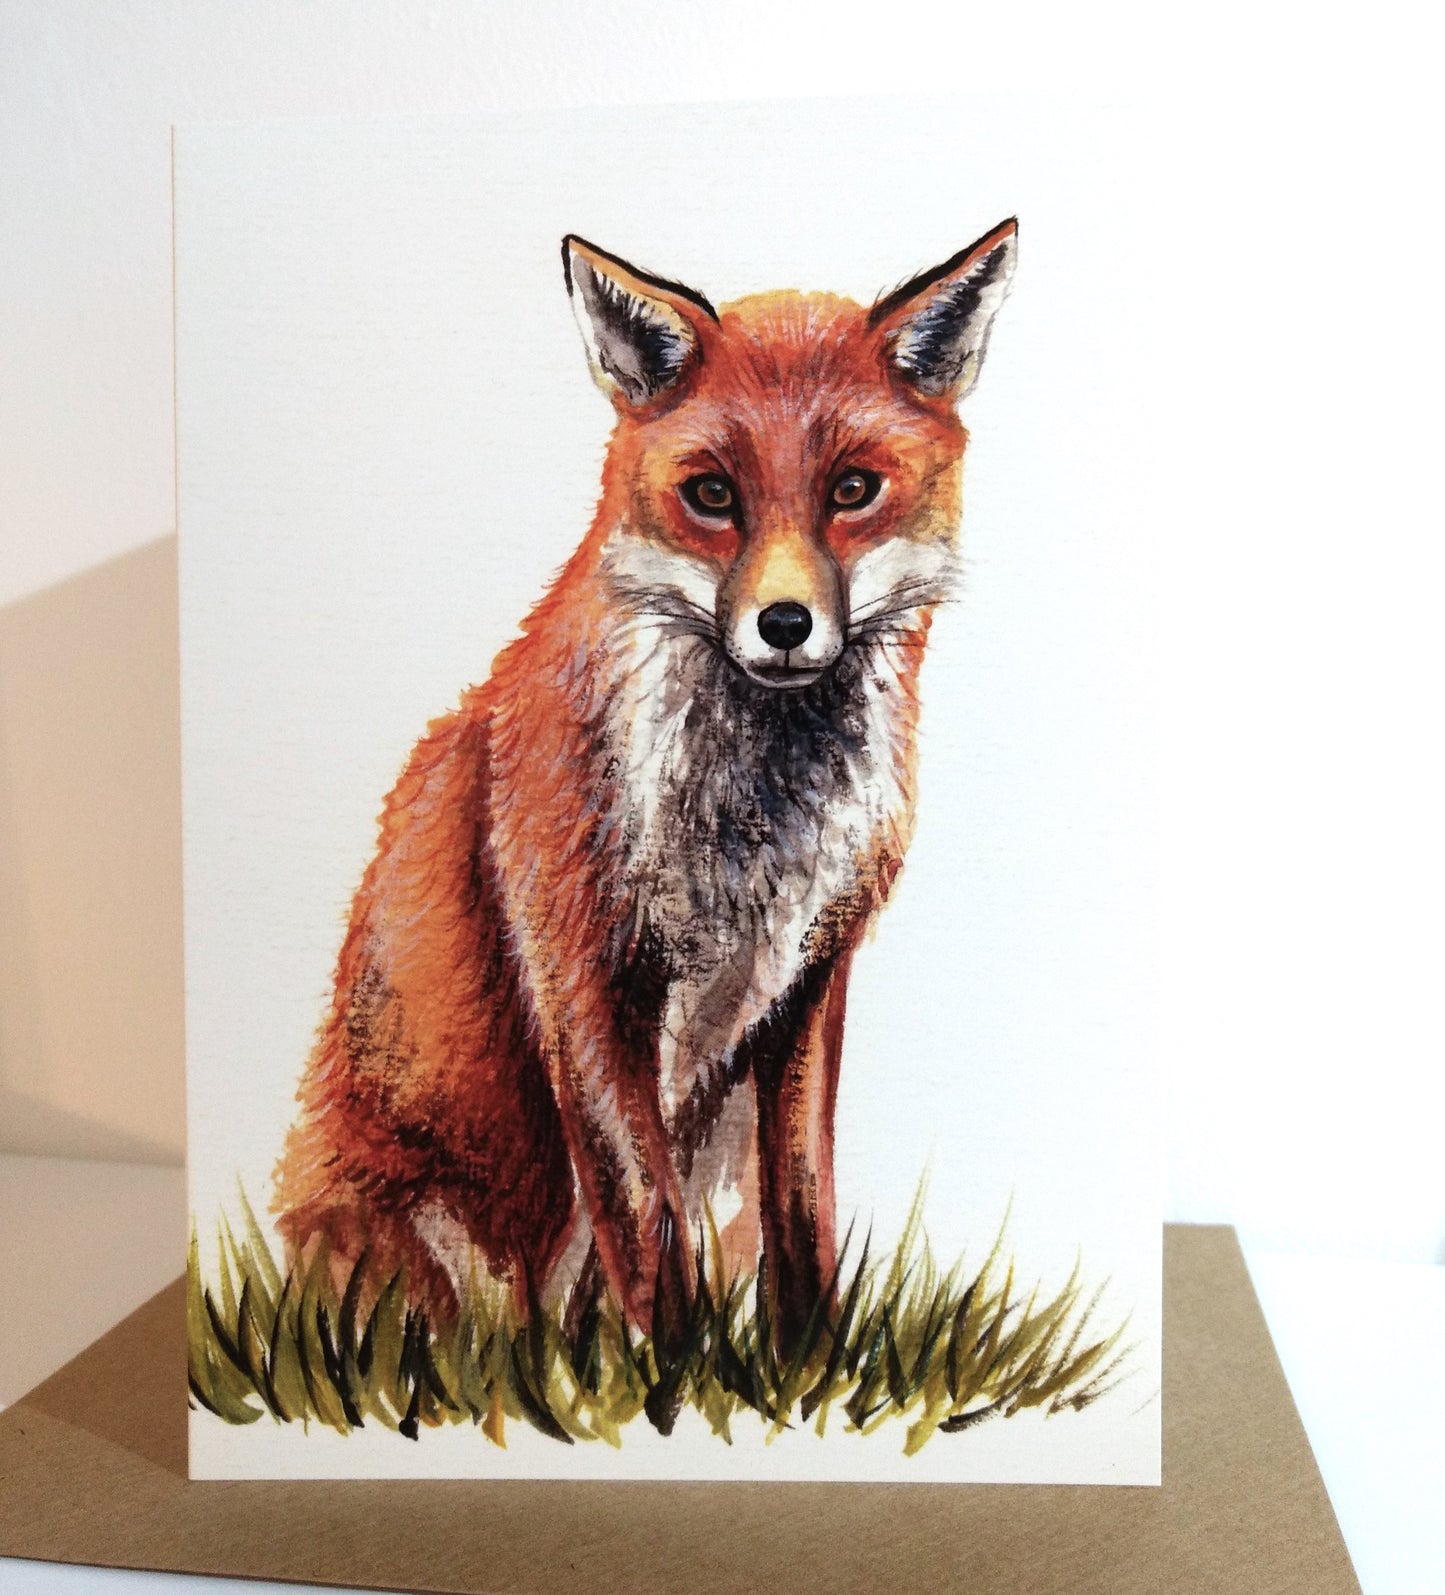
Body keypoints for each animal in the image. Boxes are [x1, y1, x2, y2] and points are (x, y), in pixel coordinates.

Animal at [273, 219, 1018, 1359]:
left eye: (852, 490)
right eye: (711, 495)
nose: (785, 623)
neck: (754, 830)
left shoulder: (808, 980)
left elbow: (802, 1202)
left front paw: (806, 1369)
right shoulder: (584, 974)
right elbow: (643, 1218)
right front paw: (670, 1378)